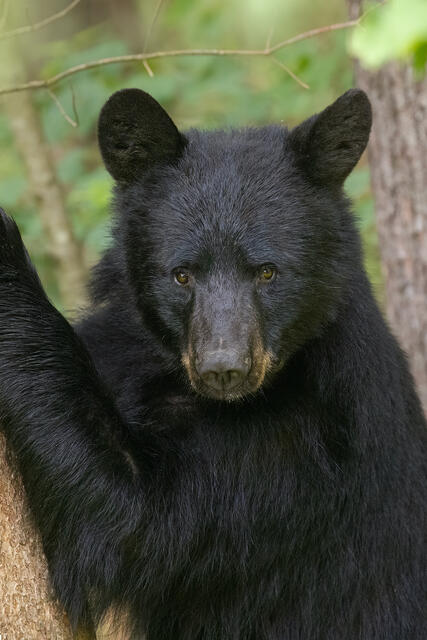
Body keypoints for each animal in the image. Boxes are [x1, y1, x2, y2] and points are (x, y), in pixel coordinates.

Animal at [0, 87, 426, 640]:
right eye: (182, 274)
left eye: (268, 272)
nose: (224, 369)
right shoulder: (123, 343)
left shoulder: (310, 447)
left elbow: (131, 521)